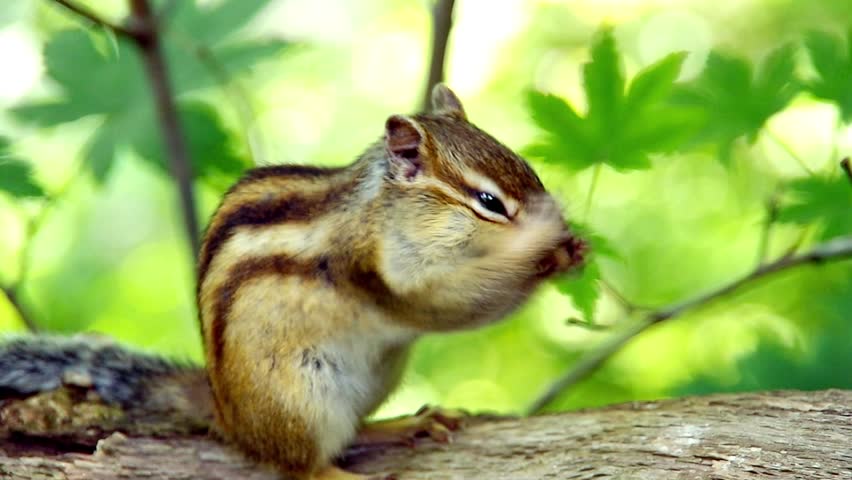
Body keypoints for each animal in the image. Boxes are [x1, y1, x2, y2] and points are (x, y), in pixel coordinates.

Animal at [0, 85, 585, 480]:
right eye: (489, 202)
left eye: (527, 167)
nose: (552, 220)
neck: (384, 212)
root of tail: (227, 415)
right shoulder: (379, 269)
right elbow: (452, 304)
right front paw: (542, 251)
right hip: (301, 399)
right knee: (303, 466)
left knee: (350, 435)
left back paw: (402, 426)